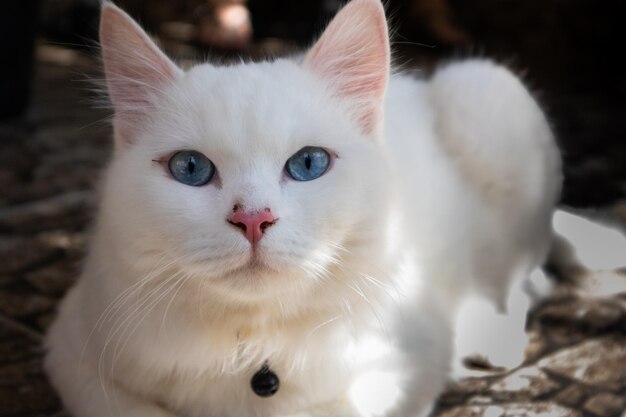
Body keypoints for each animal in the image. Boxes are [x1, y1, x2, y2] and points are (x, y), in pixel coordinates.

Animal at [45, 0, 560, 416]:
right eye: (190, 168)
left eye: (308, 163)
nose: (253, 219)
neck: (251, 348)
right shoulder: (73, 355)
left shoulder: (406, 369)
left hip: (489, 93)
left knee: (517, 283)